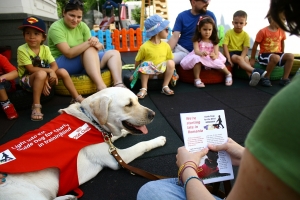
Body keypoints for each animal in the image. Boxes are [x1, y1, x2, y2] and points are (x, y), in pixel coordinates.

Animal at [0, 87, 166, 200]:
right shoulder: (117, 158)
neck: (91, 120)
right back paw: (67, 197)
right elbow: (142, 144)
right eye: (128, 104)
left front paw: (123, 132)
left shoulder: (106, 137)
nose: (153, 114)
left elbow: (116, 135)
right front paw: (158, 140)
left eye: (137, 100)